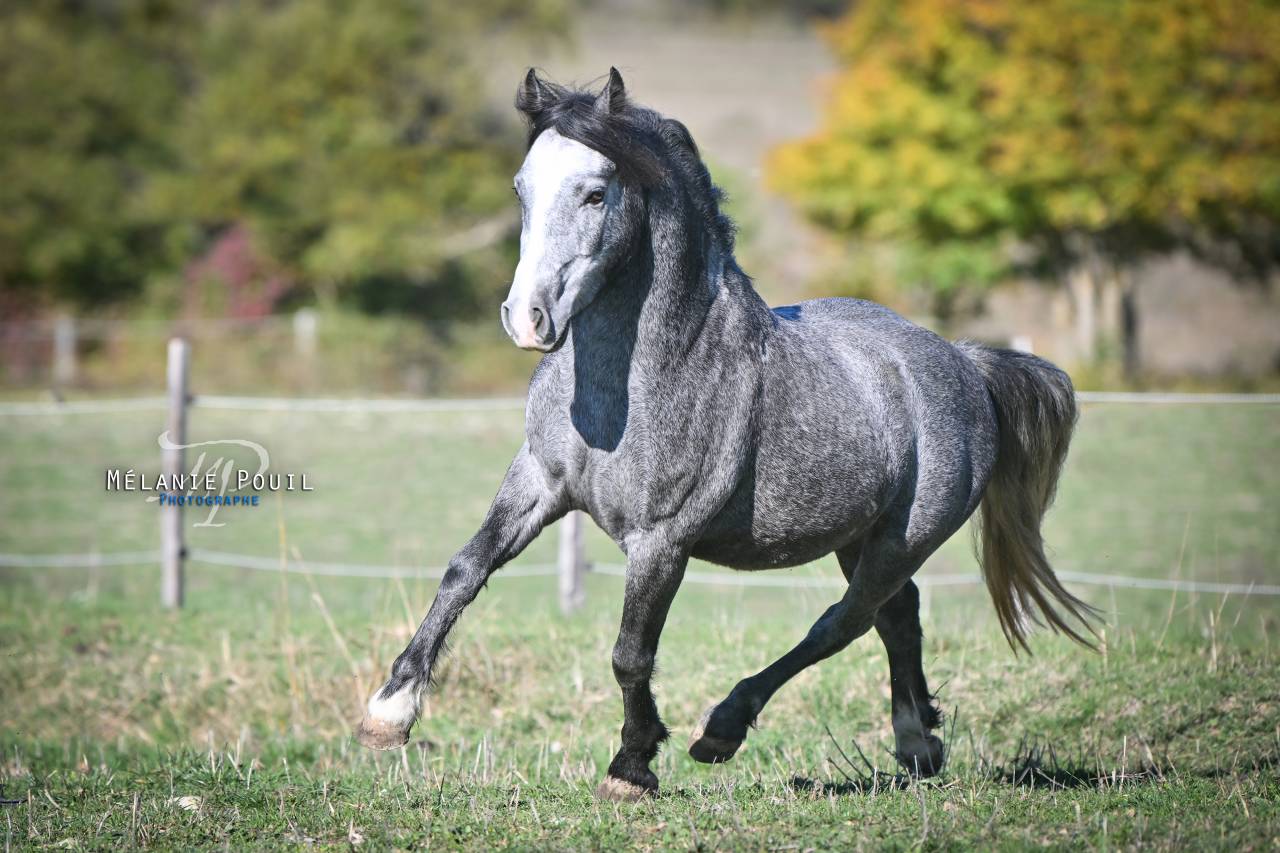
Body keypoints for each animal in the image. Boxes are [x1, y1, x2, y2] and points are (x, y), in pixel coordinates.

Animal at [357, 68, 1097, 802]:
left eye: (595, 192)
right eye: (520, 188)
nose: (526, 318)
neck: (642, 377)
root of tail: (963, 360)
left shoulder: (661, 540)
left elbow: (631, 651)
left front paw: (632, 765)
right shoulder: (539, 480)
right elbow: (465, 569)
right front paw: (389, 712)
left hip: (904, 538)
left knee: (845, 620)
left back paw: (724, 729)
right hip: (860, 535)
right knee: (897, 615)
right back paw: (917, 744)